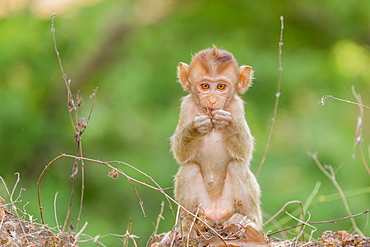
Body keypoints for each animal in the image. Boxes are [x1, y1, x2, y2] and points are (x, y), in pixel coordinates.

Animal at [171, 44, 262, 235]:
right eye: (205, 86)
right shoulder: (186, 105)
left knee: (237, 166)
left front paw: (228, 124)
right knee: (188, 168)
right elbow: (181, 154)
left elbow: (245, 152)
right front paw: (196, 128)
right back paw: (188, 224)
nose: (212, 100)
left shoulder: (237, 106)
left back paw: (247, 220)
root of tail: (216, 213)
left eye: (221, 86)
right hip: (203, 210)